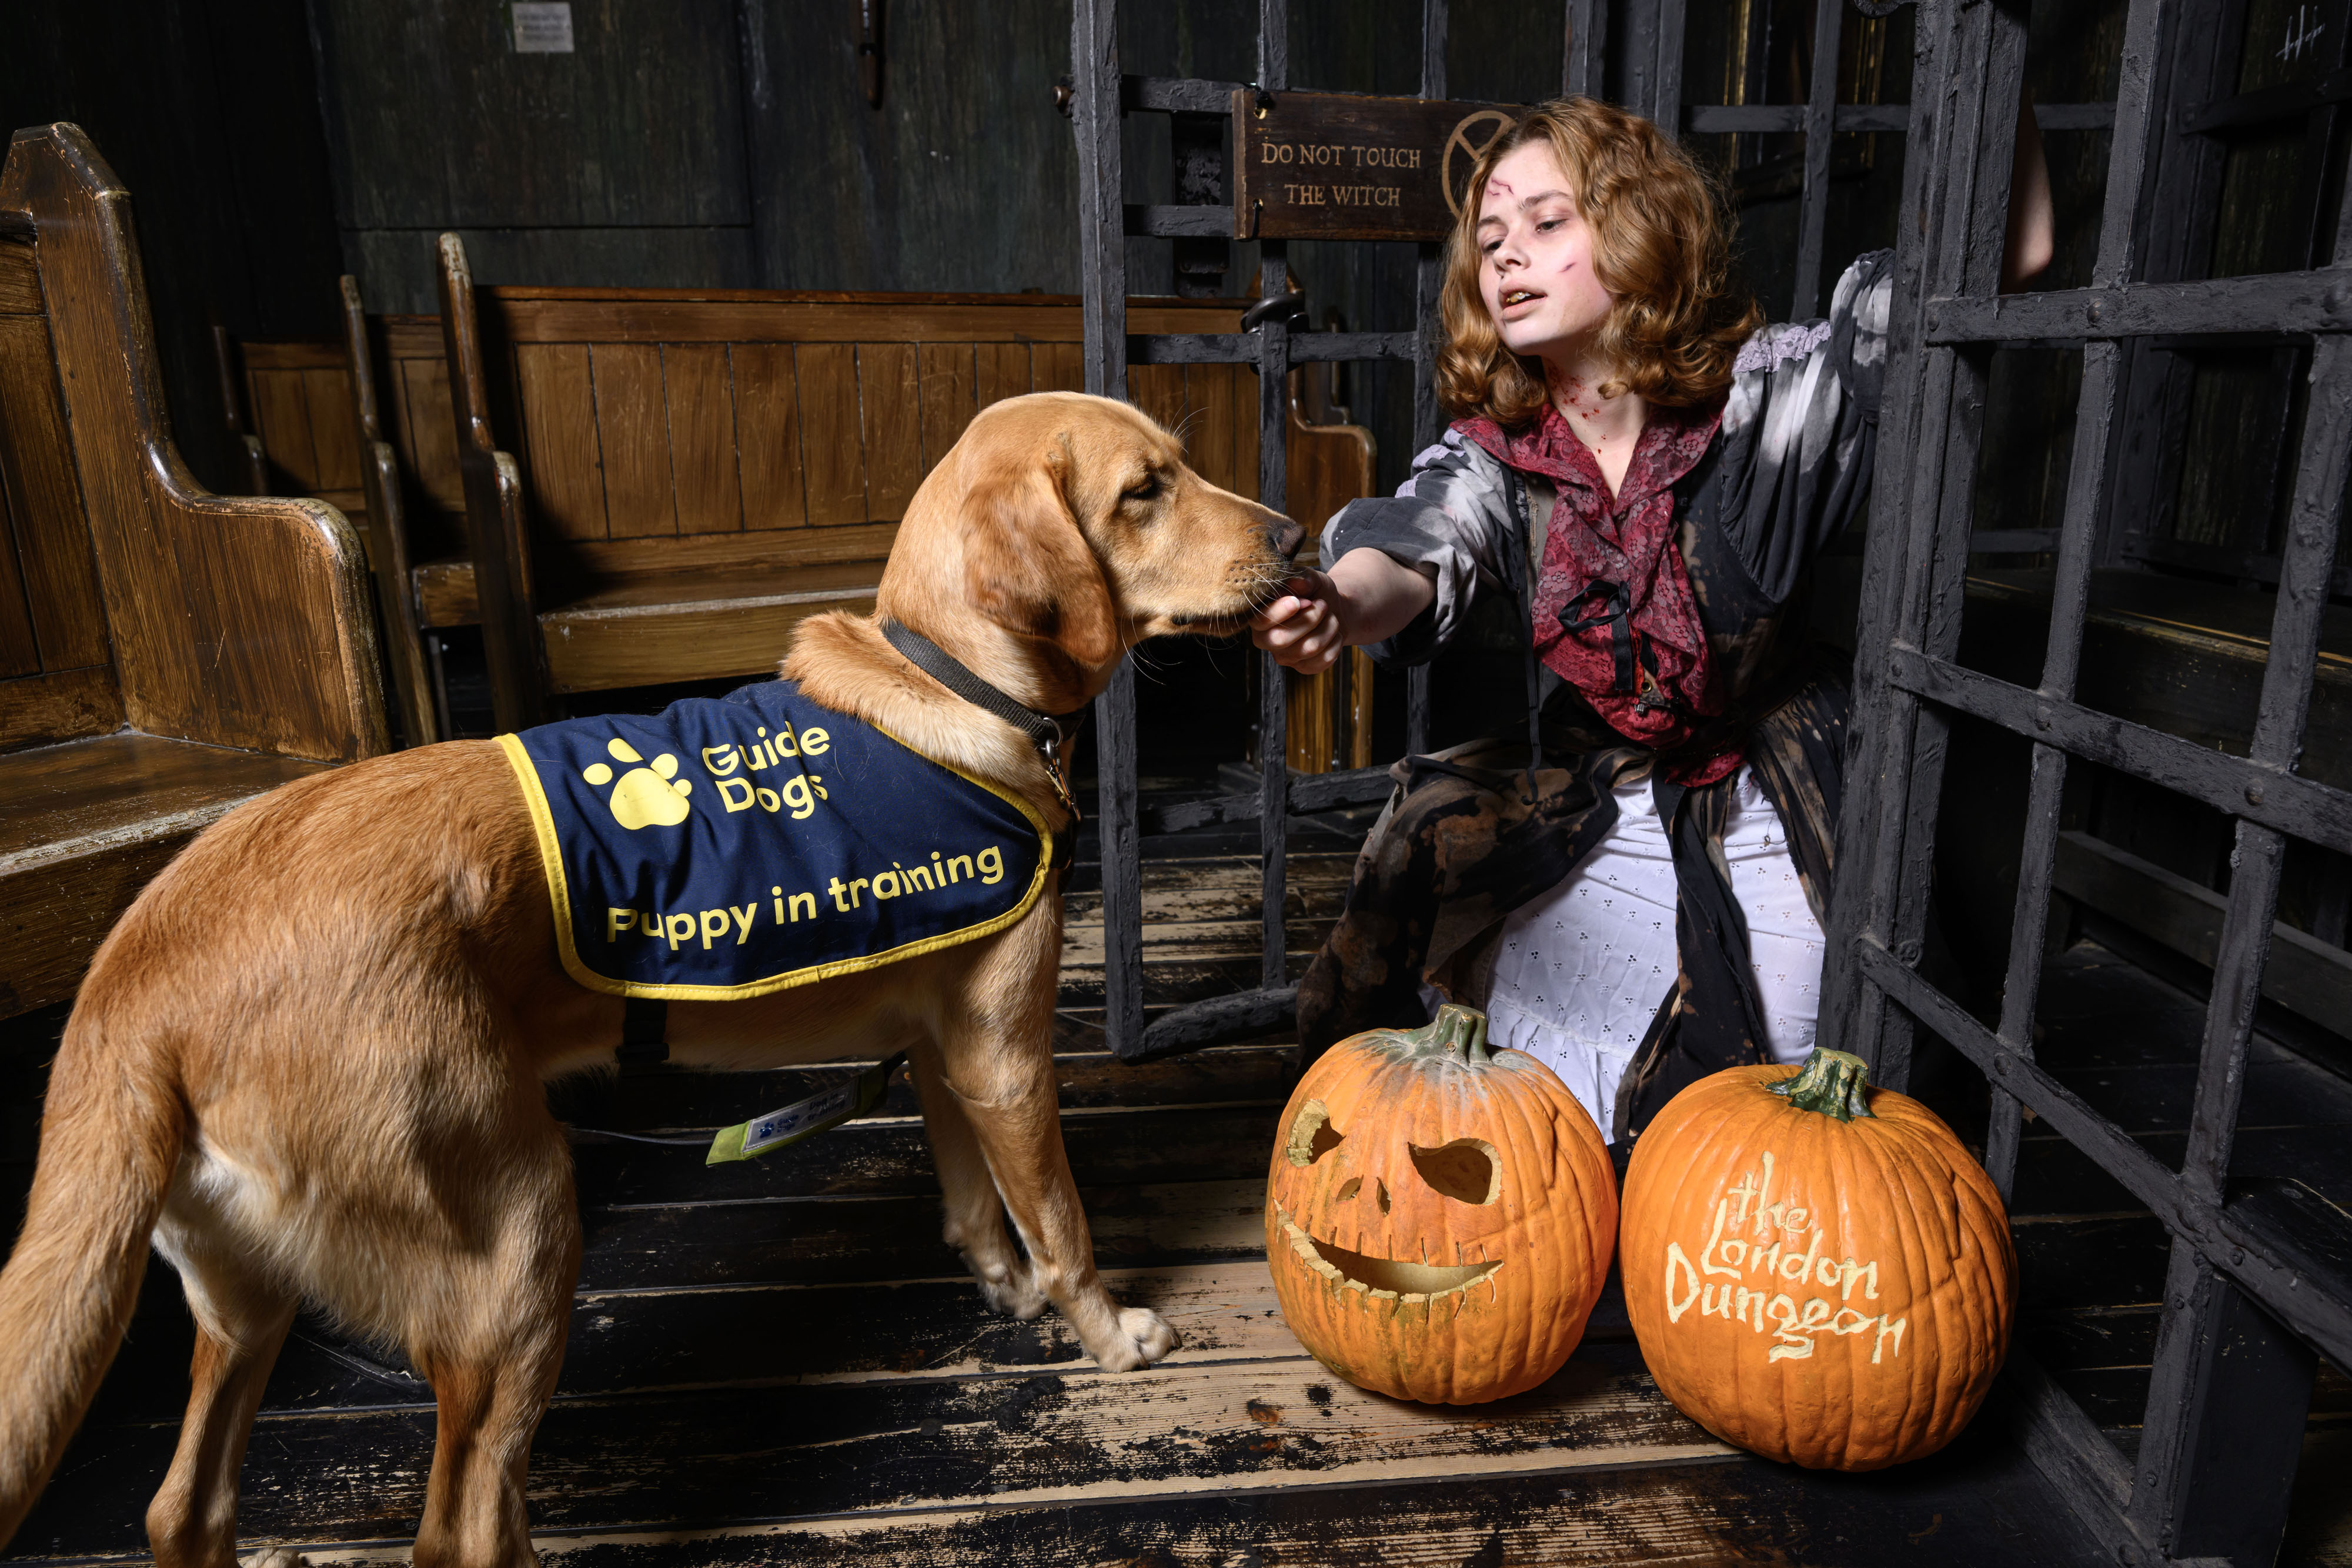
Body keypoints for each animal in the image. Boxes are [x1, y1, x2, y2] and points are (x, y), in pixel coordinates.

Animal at [0, 394, 1308, 1568]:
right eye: (1143, 490)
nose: (1297, 533)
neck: (953, 682)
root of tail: (133, 978)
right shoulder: (1008, 1055)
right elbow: (1064, 1222)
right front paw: (1107, 1333)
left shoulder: (945, 1048)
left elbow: (978, 1205)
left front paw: (1007, 1288)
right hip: (519, 1242)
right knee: (461, 1526)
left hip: (245, 1302)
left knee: (186, 1508)